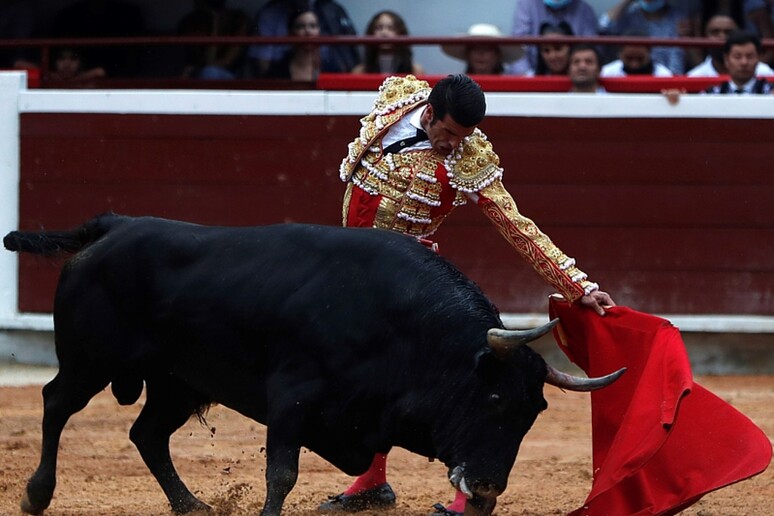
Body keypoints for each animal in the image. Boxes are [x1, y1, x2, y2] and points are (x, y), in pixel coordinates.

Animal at [4, 215, 624, 516]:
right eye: (492, 399)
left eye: (533, 414)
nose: (490, 486)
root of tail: (113, 226)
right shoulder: (292, 399)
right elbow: (282, 473)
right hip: (90, 360)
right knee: (57, 404)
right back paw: (36, 495)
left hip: (178, 382)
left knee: (148, 434)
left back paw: (191, 506)